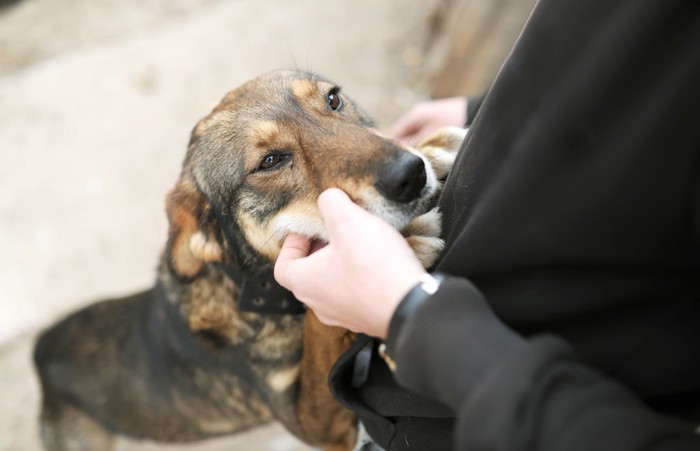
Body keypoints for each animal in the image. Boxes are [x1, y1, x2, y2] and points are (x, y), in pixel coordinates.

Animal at [32, 70, 464, 451]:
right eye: (270, 161)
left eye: (333, 99)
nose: (410, 175)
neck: (254, 295)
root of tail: (40, 350)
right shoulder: (319, 426)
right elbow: (320, 327)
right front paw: (396, 247)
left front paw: (432, 145)